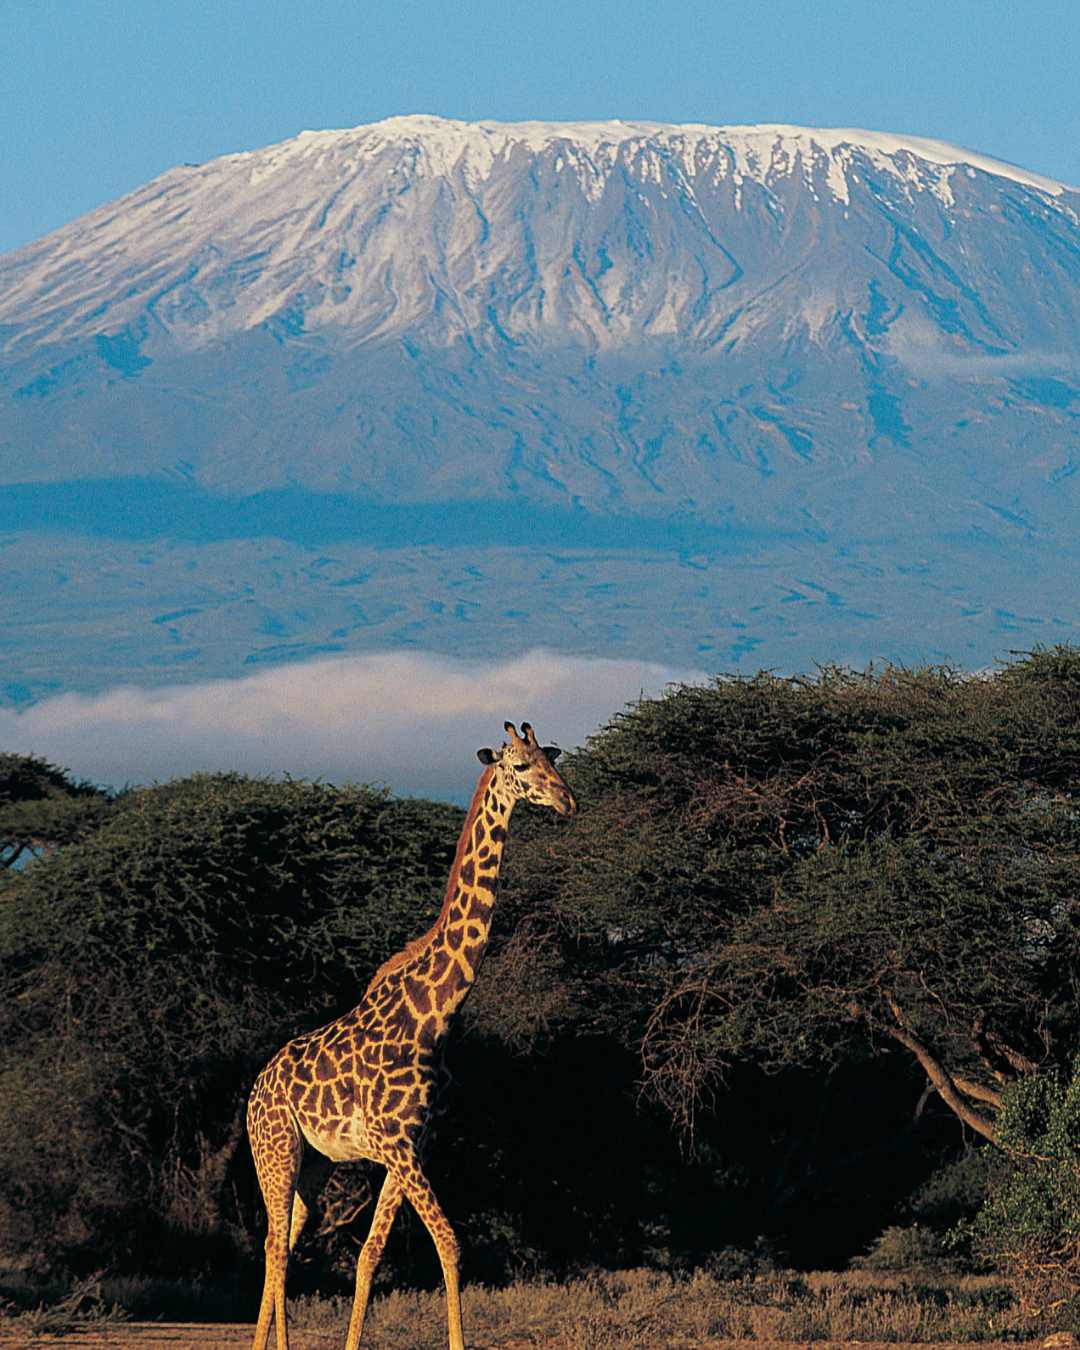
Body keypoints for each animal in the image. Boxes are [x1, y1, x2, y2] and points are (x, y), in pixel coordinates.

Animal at [247, 720, 577, 1350]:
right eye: (520, 766)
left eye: (553, 760)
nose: (567, 800)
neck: (434, 1013)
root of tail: (254, 1092)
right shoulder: (396, 1145)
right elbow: (450, 1242)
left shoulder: (412, 1144)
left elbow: (370, 1256)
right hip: (274, 1149)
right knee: (274, 1247)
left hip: (312, 1164)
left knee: (284, 1242)